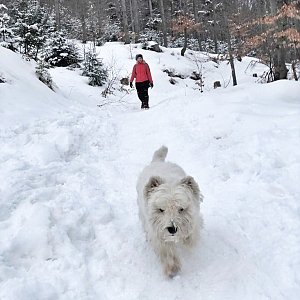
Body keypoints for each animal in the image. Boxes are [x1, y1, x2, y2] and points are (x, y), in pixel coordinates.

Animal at [137, 145, 204, 276]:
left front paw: (188, 240)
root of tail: (157, 161)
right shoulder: (156, 231)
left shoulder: (194, 217)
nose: (172, 229)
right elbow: (166, 250)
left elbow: (192, 233)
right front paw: (172, 268)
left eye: (181, 209)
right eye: (161, 209)